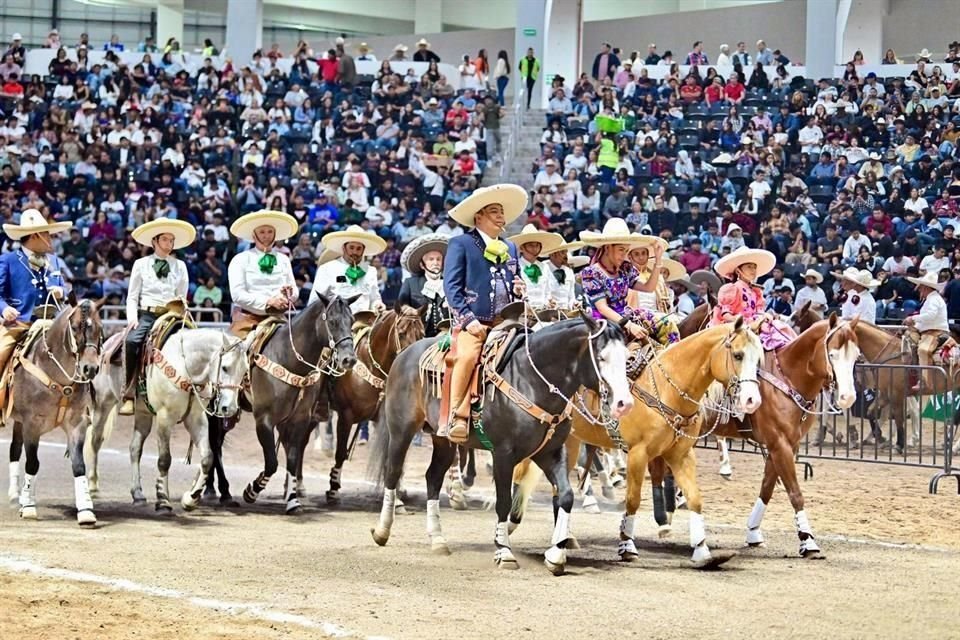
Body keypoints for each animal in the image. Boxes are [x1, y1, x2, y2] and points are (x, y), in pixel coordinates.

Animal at [5, 302, 103, 524]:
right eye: (74, 327)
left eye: (100, 328)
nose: (90, 368)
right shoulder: (32, 424)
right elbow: (32, 463)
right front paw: (29, 506)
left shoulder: (77, 424)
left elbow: (79, 465)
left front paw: (86, 510)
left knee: (14, 449)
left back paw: (16, 496)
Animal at [84, 328, 248, 512]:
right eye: (225, 368)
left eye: (245, 370)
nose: (230, 408)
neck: (186, 366)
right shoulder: (165, 418)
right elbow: (164, 460)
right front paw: (163, 501)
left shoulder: (196, 418)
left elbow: (207, 458)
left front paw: (191, 498)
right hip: (103, 403)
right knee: (95, 440)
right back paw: (92, 485)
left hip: (143, 413)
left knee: (134, 449)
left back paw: (138, 494)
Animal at [368, 316, 632, 576]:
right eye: (601, 357)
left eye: (626, 356)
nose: (624, 403)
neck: (531, 379)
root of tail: (404, 354)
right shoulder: (503, 455)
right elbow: (504, 501)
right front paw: (504, 551)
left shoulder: (551, 452)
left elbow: (565, 496)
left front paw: (556, 554)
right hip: (401, 431)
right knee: (392, 473)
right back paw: (382, 530)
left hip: (443, 440)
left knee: (433, 477)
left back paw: (438, 540)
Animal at [512, 318, 760, 568]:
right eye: (738, 355)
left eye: (758, 359)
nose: (753, 400)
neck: (667, 388)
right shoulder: (638, 453)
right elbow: (633, 500)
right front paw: (627, 545)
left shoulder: (681, 455)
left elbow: (695, 499)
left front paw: (702, 551)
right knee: (520, 471)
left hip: (570, 441)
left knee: (557, 487)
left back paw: (565, 538)